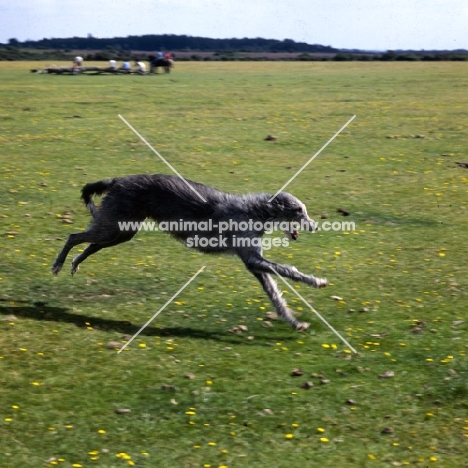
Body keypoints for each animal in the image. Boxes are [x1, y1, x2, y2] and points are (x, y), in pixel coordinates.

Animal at [52, 174, 330, 330]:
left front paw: (294, 322)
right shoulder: (253, 258)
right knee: (73, 236)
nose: (315, 226)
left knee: (89, 245)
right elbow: (287, 270)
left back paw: (75, 262)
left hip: (120, 231)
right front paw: (316, 281)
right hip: (114, 225)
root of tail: (118, 180)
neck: (255, 211)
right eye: (299, 210)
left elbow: (275, 295)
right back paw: (58, 263)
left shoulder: (254, 263)